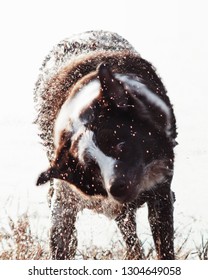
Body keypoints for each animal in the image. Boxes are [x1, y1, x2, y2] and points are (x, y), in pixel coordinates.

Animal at [34, 29, 177, 260]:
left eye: (120, 145)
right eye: (92, 168)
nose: (116, 186)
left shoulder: (161, 193)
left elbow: (164, 247)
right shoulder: (65, 201)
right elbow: (61, 242)